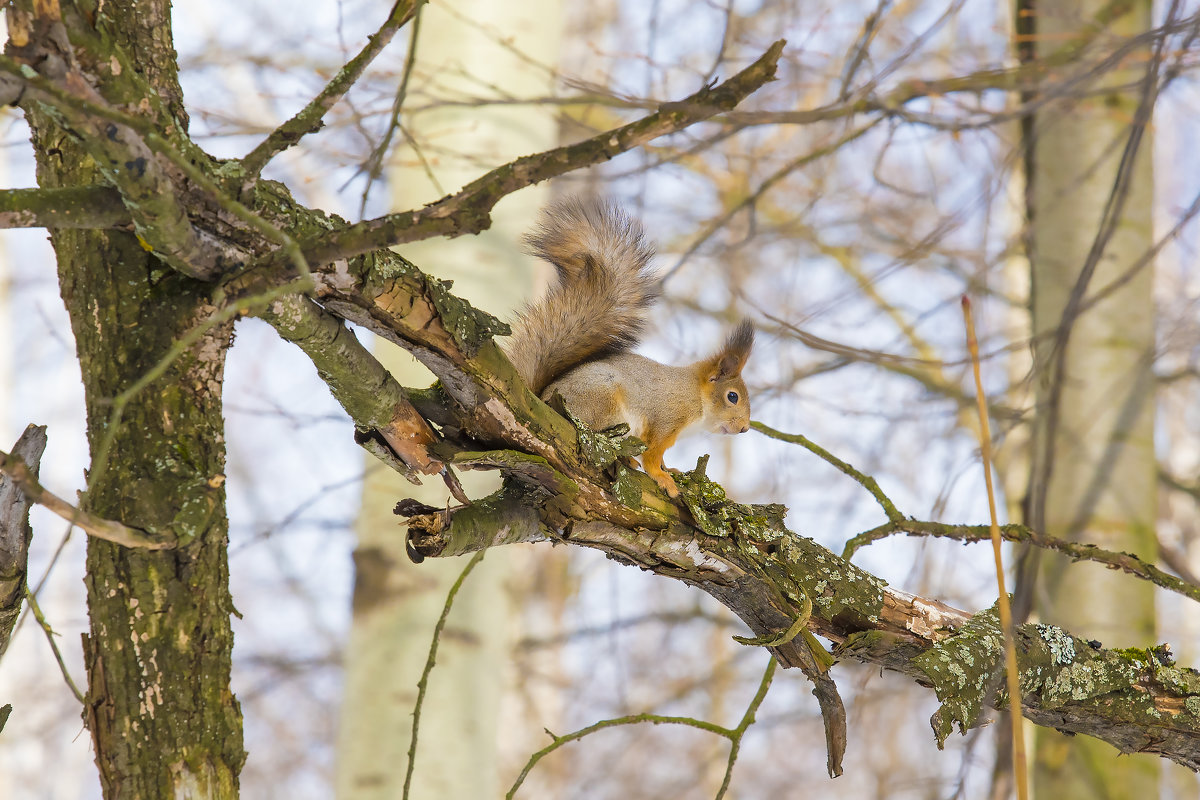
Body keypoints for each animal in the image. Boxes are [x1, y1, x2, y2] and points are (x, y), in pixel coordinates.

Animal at [504, 196, 748, 496]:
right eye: (732, 396)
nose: (745, 428)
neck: (695, 395)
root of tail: (540, 399)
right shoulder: (666, 420)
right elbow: (653, 455)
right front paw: (663, 478)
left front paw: (671, 470)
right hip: (602, 400)